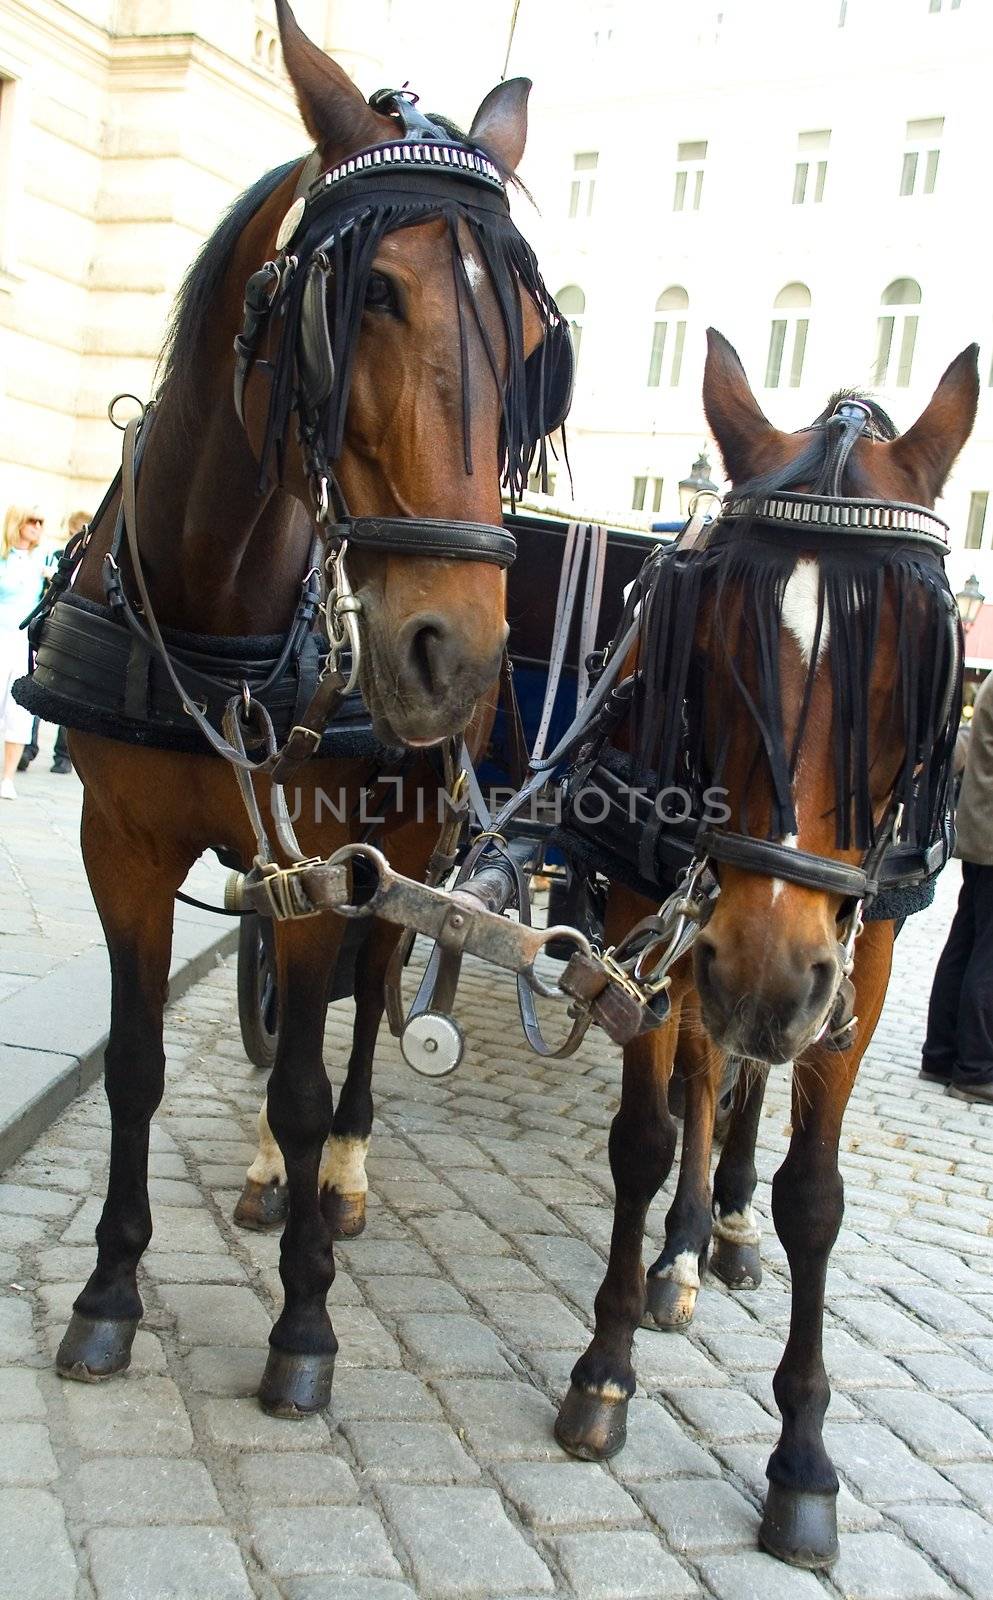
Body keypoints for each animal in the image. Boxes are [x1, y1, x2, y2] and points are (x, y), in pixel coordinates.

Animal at [40, 3, 566, 1427]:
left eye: (534, 344)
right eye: (367, 292)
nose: (454, 654)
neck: (221, 604)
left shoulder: (348, 865)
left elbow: (304, 1080)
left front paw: (305, 1321)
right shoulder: (122, 846)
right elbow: (138, 1063)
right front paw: (110, 1291)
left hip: (418, 847)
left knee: (367, 1018)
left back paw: (338, 1178)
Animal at [553, 324, 978, 1561]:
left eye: (918, 666)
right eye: (715, 641)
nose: (768, 975)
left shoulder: (856, 964)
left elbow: (815, 1197)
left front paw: (803, 1454)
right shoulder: (639, 925)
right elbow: (646, 1137)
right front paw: (605, 1366)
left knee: (744, 1088)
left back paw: (730, 1224)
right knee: (709, 1073)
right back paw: (687, 1244)